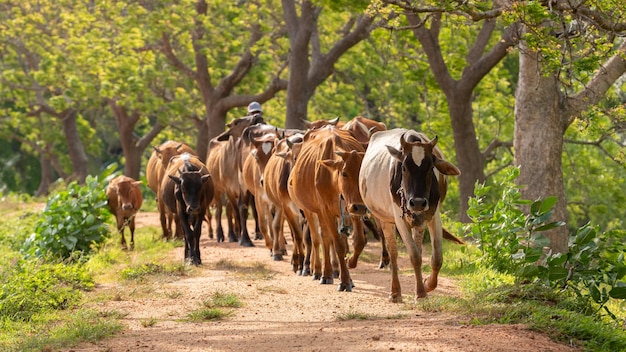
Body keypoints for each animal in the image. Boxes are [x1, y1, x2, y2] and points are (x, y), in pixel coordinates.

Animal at [288, 126, 366, 292]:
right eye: (344, 173)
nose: (361, 207)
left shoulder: (352, 209)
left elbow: (359, 241)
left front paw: (350, 263)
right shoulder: (326, 211)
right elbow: (337, 245)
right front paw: (344, 281)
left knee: (328, 238)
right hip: (311, 211)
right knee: (319, 239)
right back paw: (321, 272)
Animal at [356, 129, 458, 302]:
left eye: (431, 167)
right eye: (403, 167)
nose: (417, 202)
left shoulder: (433, 216)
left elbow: (437, 258)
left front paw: (427, 285)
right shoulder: (399, 220)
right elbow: (414, 256)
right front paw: (421, 293)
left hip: (418, 222)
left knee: (418, 249)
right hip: (385, 220)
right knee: (393, 254)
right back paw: (395, 292)